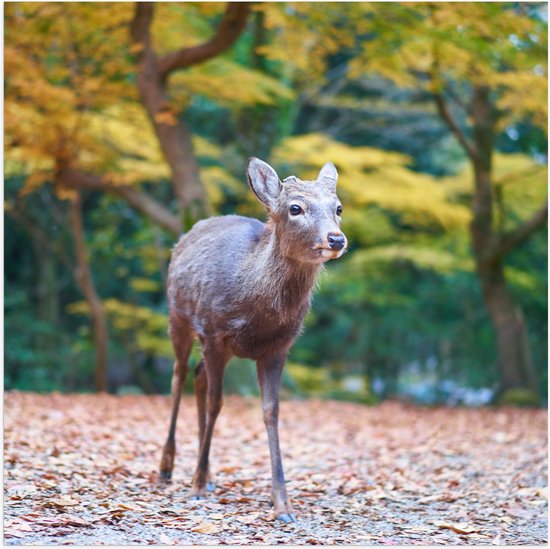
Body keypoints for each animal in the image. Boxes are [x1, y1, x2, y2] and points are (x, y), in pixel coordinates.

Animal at [160, 156, 350, 520]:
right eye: (295, 208)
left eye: (338, 208)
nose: (336, 239)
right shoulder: (214, 332)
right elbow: (217, 403)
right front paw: (195, 487)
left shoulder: (278, 347)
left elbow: (270, 411)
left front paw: (282, 504)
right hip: (178, 316)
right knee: (178, 375)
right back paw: (168, 467)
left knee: (198, 375)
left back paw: (209, 474)